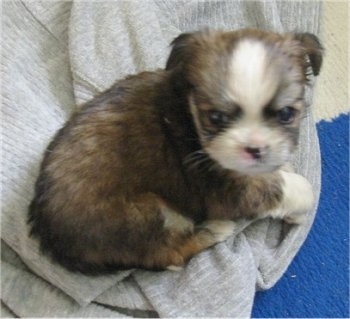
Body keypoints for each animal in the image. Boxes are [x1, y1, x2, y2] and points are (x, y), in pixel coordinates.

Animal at [28, 28, 324, 274]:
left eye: (286, 114)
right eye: (216, 117)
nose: (255, 148)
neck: (188, 112)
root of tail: (49, 233)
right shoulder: (225, 189)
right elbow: (284, 187)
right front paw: (300, 202)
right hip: (144, 215)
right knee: (170, 254)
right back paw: (215, 230)